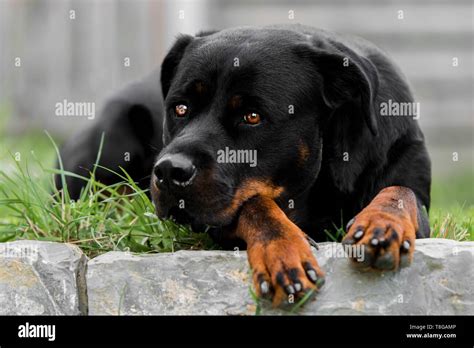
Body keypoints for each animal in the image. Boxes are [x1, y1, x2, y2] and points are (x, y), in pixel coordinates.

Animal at [57, 24, 432, 306]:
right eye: (180, 108)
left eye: (252, 116)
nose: (168, 171)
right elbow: (255, 204)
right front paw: (282, 251)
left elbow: (400, 191)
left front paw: (382, 224)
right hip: (110, 132)